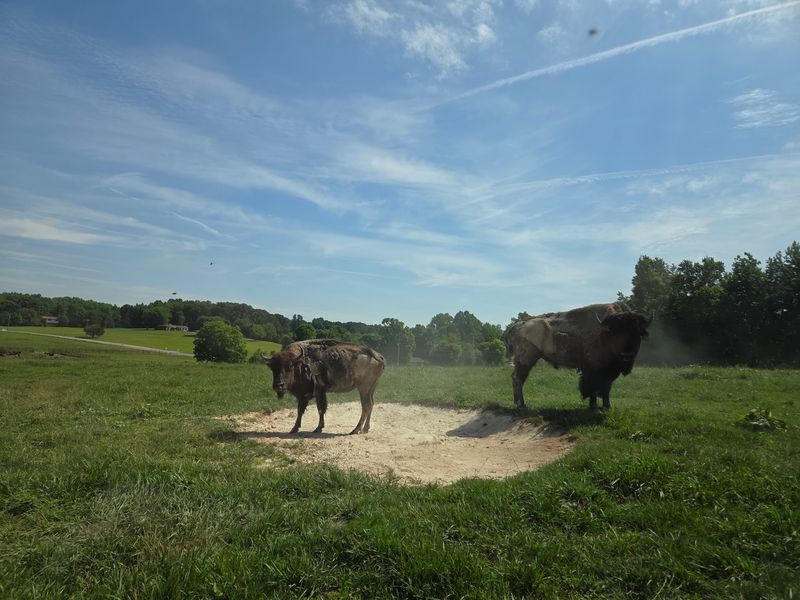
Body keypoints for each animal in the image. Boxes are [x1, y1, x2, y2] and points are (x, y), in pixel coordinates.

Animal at [504, 302, 651, 410]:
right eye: (615, 333)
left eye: (637, 333)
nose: (626, 354)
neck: (604, 333)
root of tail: (518, 325)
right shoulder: (594, 370)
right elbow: (594, 388)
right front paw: (594, 407)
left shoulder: (609, 372)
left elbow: (606, 388)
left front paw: (607, 406)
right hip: (526, 360)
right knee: (518, 379)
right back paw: (522, 405)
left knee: (516, 378)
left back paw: (518, 404)